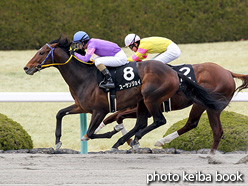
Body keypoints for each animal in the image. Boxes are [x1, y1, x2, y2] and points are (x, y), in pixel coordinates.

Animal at [24, 37, 228, 151]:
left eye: (41, 52)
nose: (26, 68)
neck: (84, 77)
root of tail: (173, 72)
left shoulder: (100, 110)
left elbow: (90, 132)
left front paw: (112, 134)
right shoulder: (83, 106)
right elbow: (60, 113)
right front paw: (58, 142)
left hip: (153, 98)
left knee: (161, 121)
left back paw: (136, 140)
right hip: (144, 102)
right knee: (145, 122)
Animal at [99, 62, 248, 153]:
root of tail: (228, 72)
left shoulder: (147, 107)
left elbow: (117, 116)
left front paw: (130, 140)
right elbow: (113, 117)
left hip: (202, 103)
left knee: (194, 124)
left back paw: (162, 141)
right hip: (212, 107)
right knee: (215, 130)